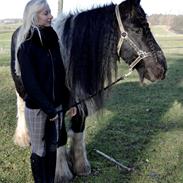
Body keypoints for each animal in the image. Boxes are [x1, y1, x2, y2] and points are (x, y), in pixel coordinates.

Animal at [10, 0, 167, 182]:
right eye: (137, 30)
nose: (162, 69)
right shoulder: (57, 107)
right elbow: (61, 137)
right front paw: (62, 173)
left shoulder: (80, 102)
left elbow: (78, 131)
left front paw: (81, 166)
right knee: (22, 109)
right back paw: (23, 138)